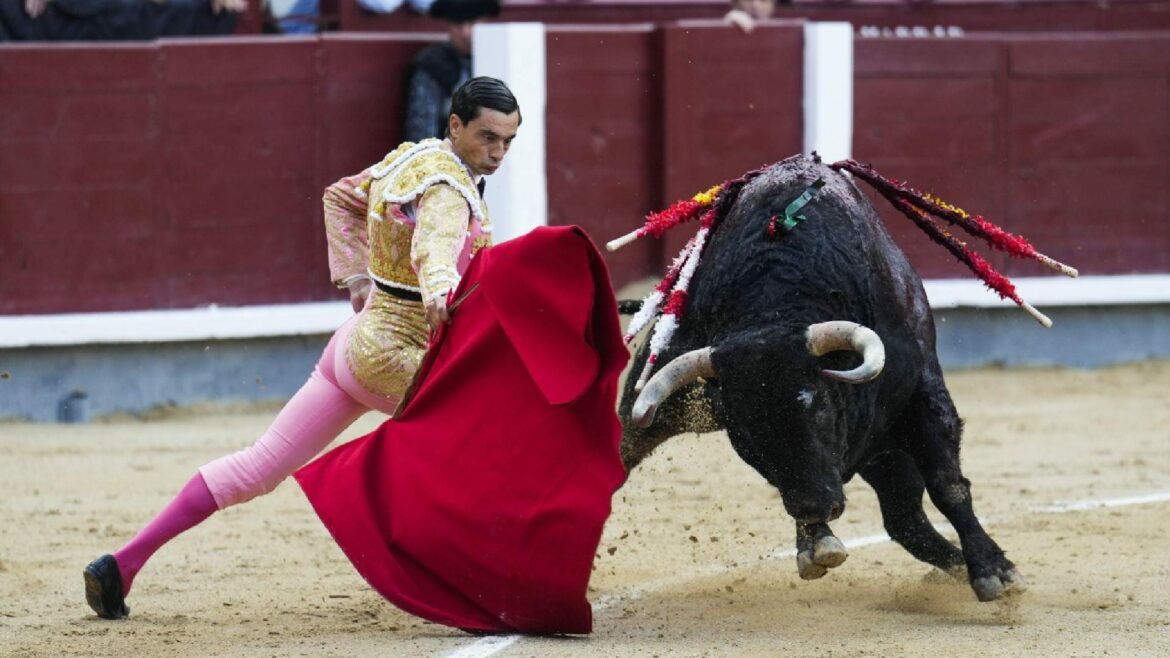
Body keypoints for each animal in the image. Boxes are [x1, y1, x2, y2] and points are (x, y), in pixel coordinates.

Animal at [622, 153, 1024, 599]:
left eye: (813, 402)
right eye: (746, 432)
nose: (816, 506)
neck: (778, 299)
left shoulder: (922, 392)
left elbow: (947, 484)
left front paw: (994, 572)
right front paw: (816, 543)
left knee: (906, 516)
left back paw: (956, 566)